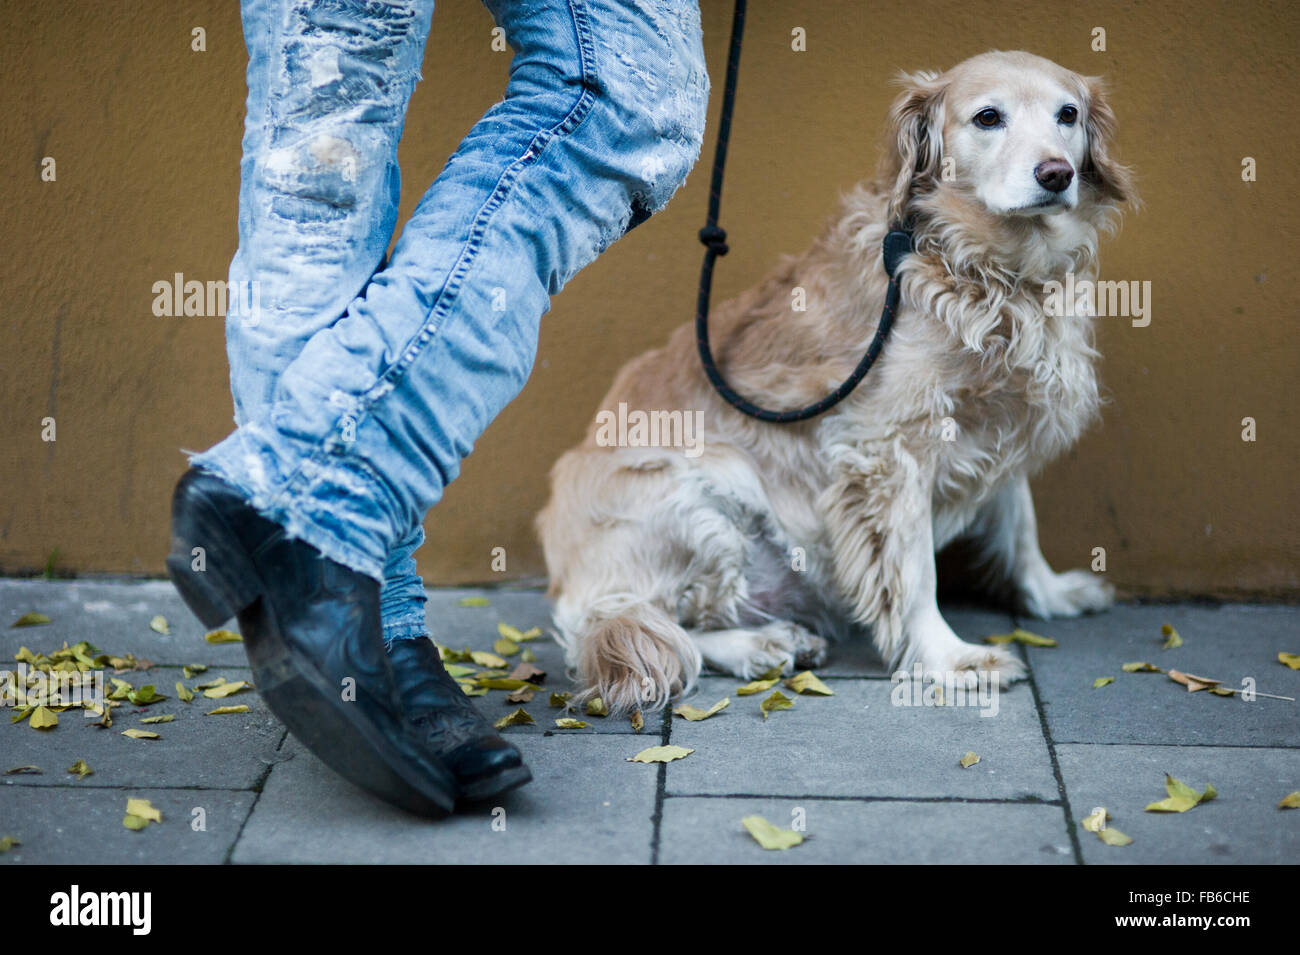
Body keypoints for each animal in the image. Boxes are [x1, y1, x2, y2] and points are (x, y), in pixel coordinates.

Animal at [533, 50, 1133, 712]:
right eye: (987, 117)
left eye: (1067, 114)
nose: (1055, 174)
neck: (986, 268)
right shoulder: (888, 447)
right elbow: (914, 572)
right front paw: (949, 660)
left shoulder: (1003, 413)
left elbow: (1021, 524)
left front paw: (1048, 594)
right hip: (706, 485)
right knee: (656, 624)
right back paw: (761, 644)